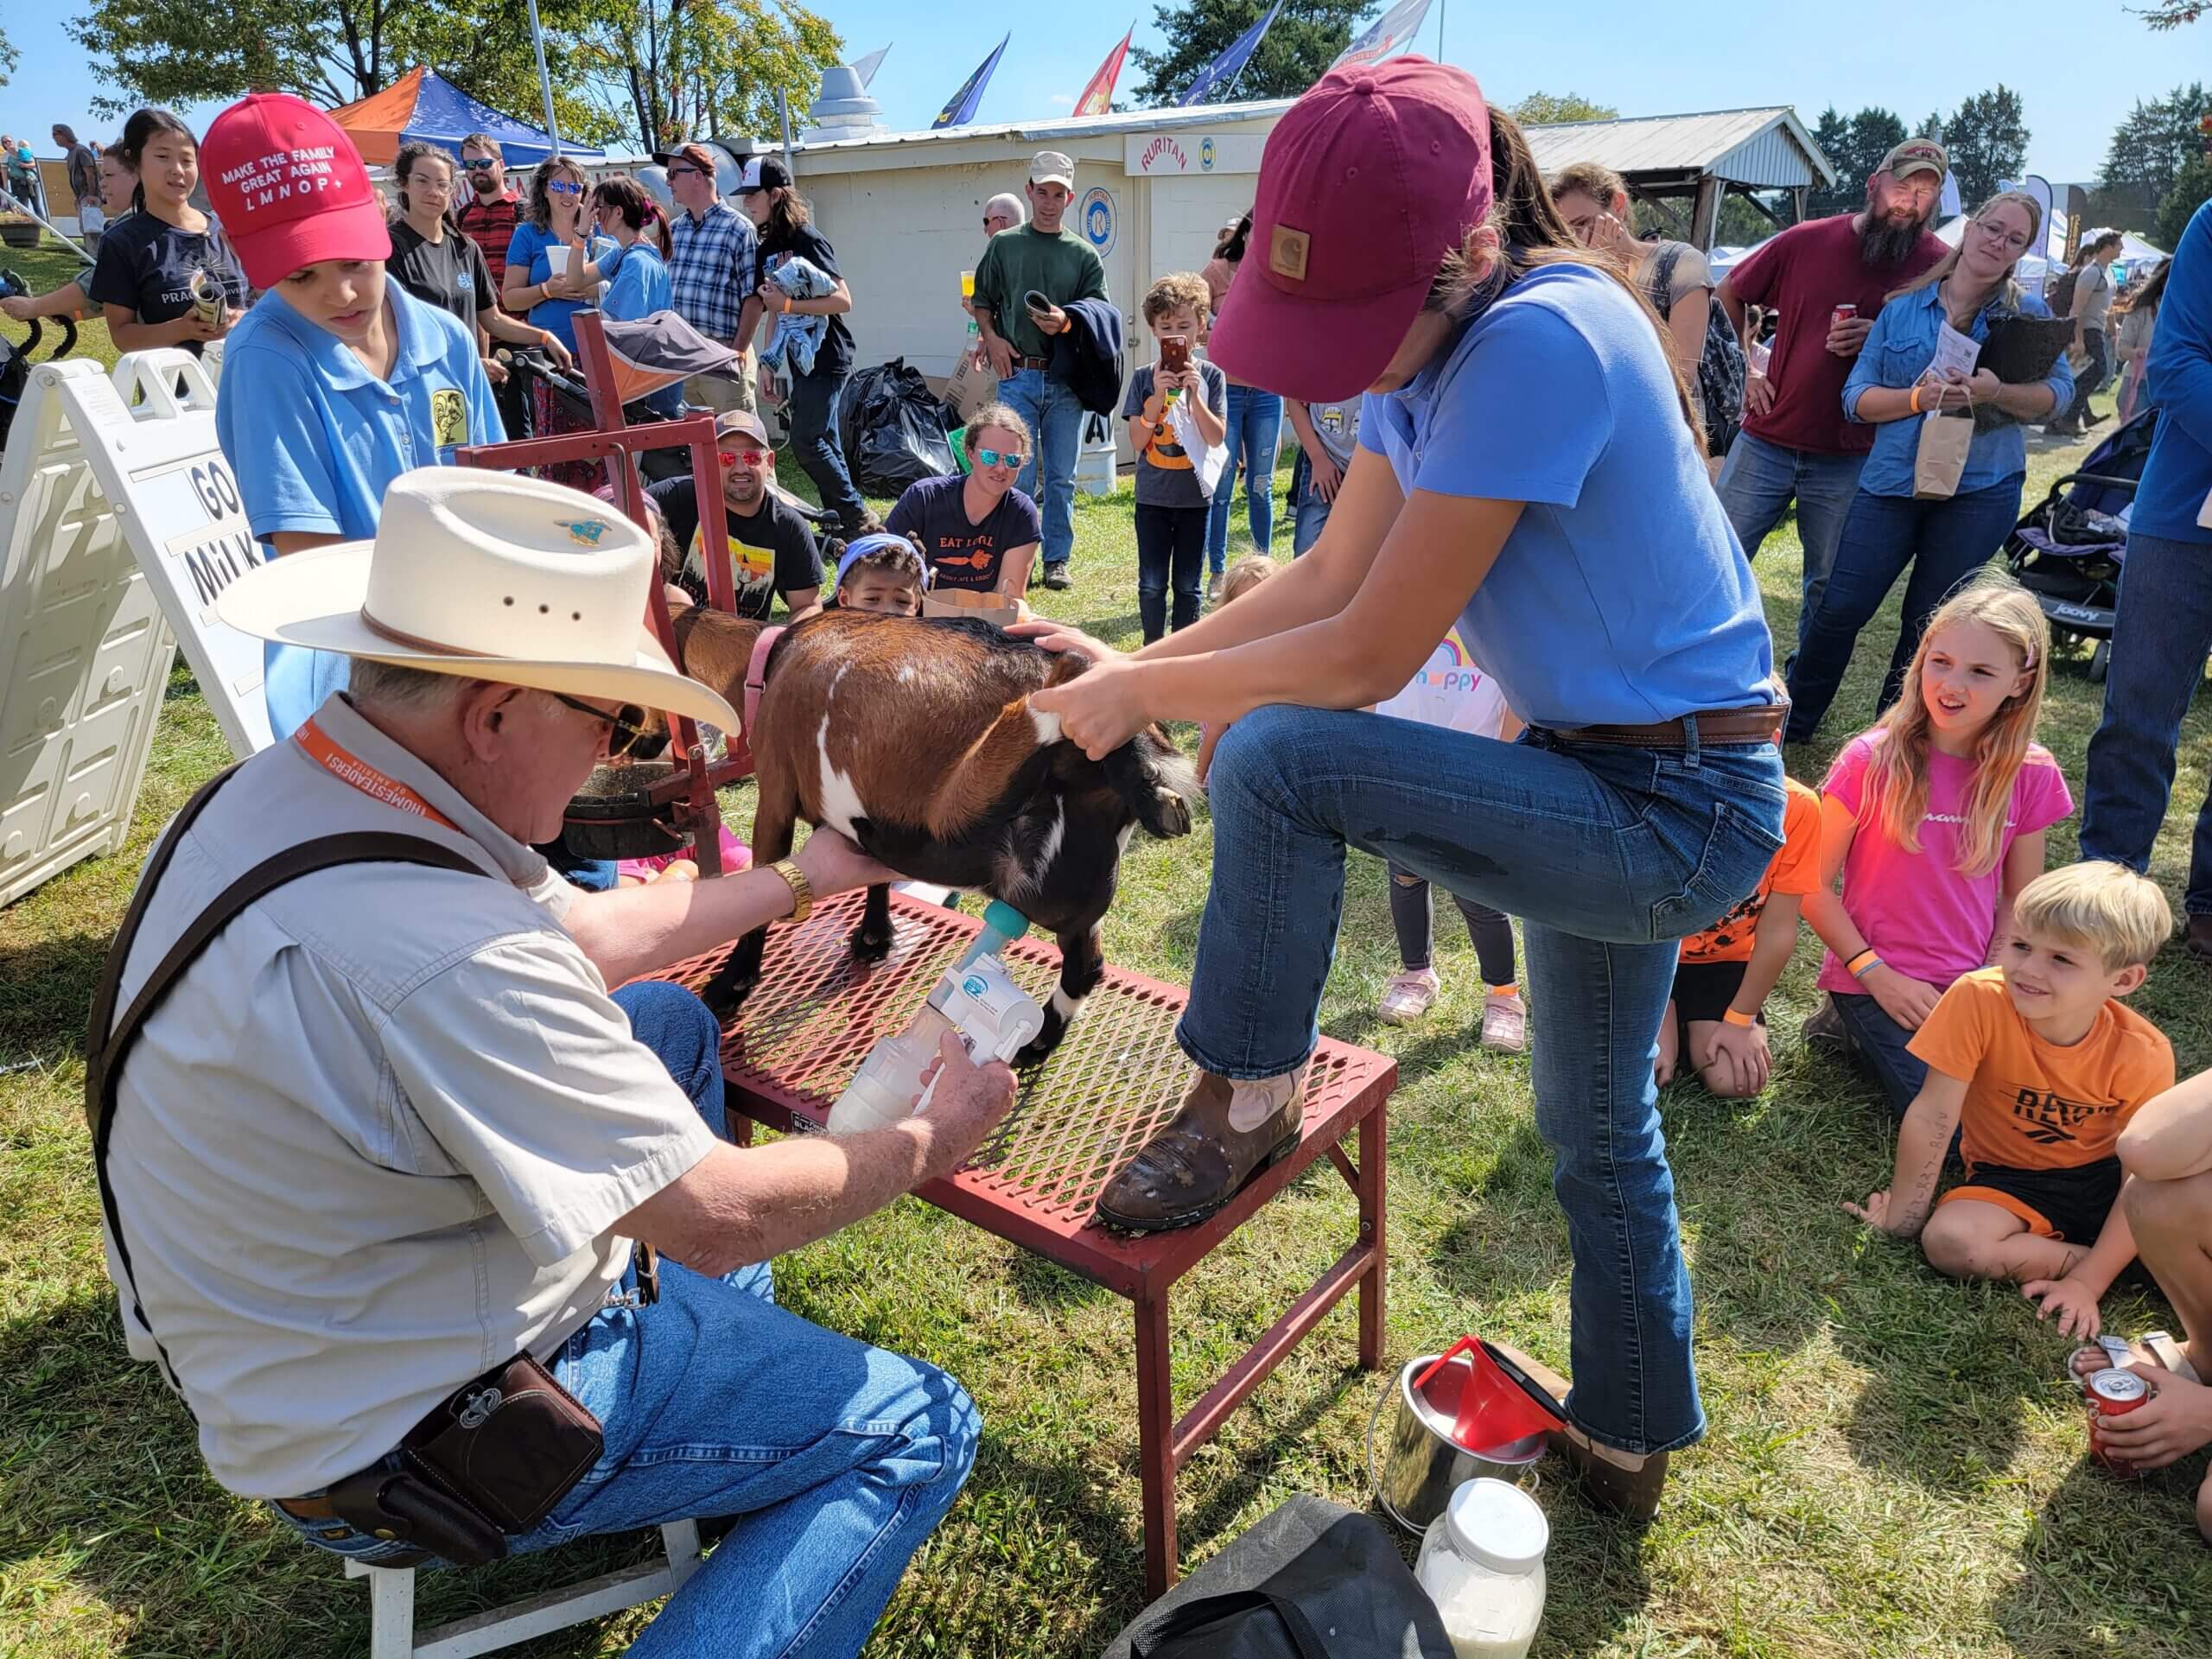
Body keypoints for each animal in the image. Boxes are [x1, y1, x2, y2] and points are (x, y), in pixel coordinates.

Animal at [672, 610, 1203, 1065]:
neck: (770, 659)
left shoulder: (776, 796)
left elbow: (766, 874)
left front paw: (731, 984)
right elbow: (878, 876)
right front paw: (874, 936)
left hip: (957, 805)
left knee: (1065, 677)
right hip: (1070, 887)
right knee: (1086, 965)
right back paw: (1039, 1040)